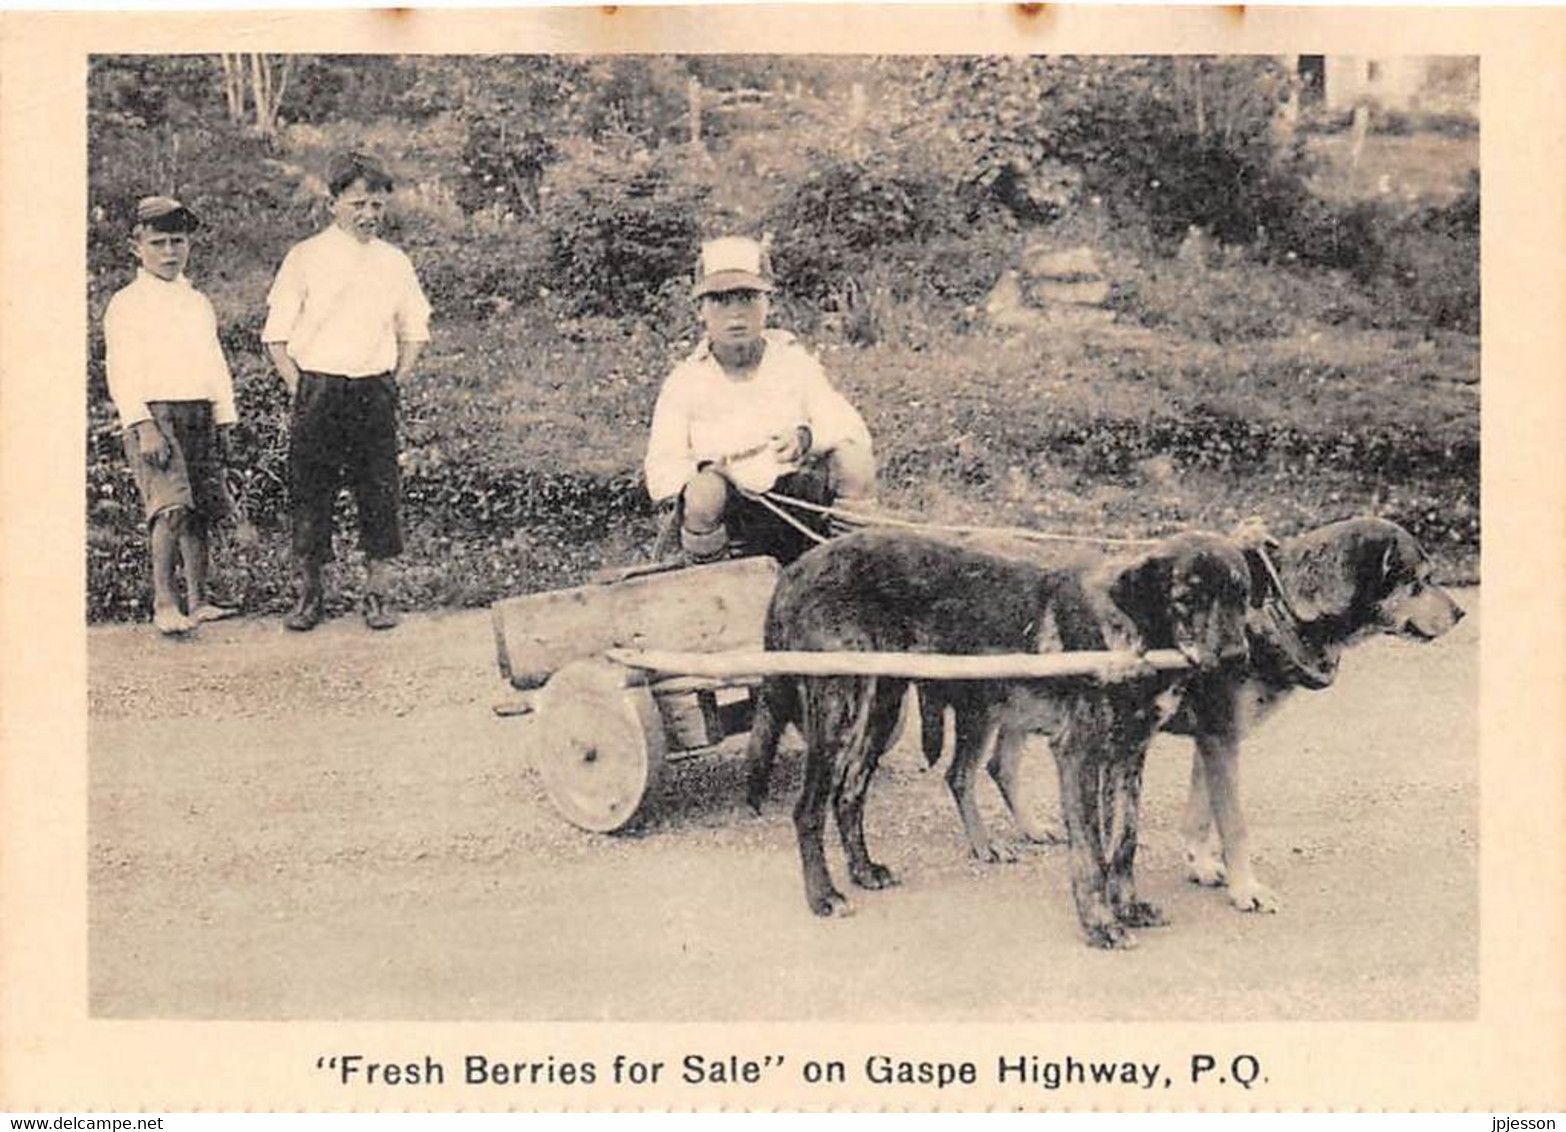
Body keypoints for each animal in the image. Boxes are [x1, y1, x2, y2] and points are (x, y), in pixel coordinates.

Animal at [742, 529, 1246, 945]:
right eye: (1187, 597)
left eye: (1241, 595)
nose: (1236, 656)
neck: (1130, 634)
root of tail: (794, 570)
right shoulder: (1077, 755)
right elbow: (1089, 853)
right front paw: (1100, 924)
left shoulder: (1128, 754)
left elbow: (1123, 842)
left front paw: (1129, 907)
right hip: (837, 708)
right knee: (808, 808)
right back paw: (823, 895)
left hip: (883, 706)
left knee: (848, 792)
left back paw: (864, 869)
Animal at [914, 516, 1459, 914]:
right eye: (1419, 582)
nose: (1460, 613)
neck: (1276, 614)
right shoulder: (1219, 738)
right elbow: (1233, 822)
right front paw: (1246, 888)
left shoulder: (1214, 739)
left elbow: (1201, 811)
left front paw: (1200, 863)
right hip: (987, 706)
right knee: (963, 774)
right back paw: (985, 844)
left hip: (1021, 704)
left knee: (1000, 766)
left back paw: (1029, 827)